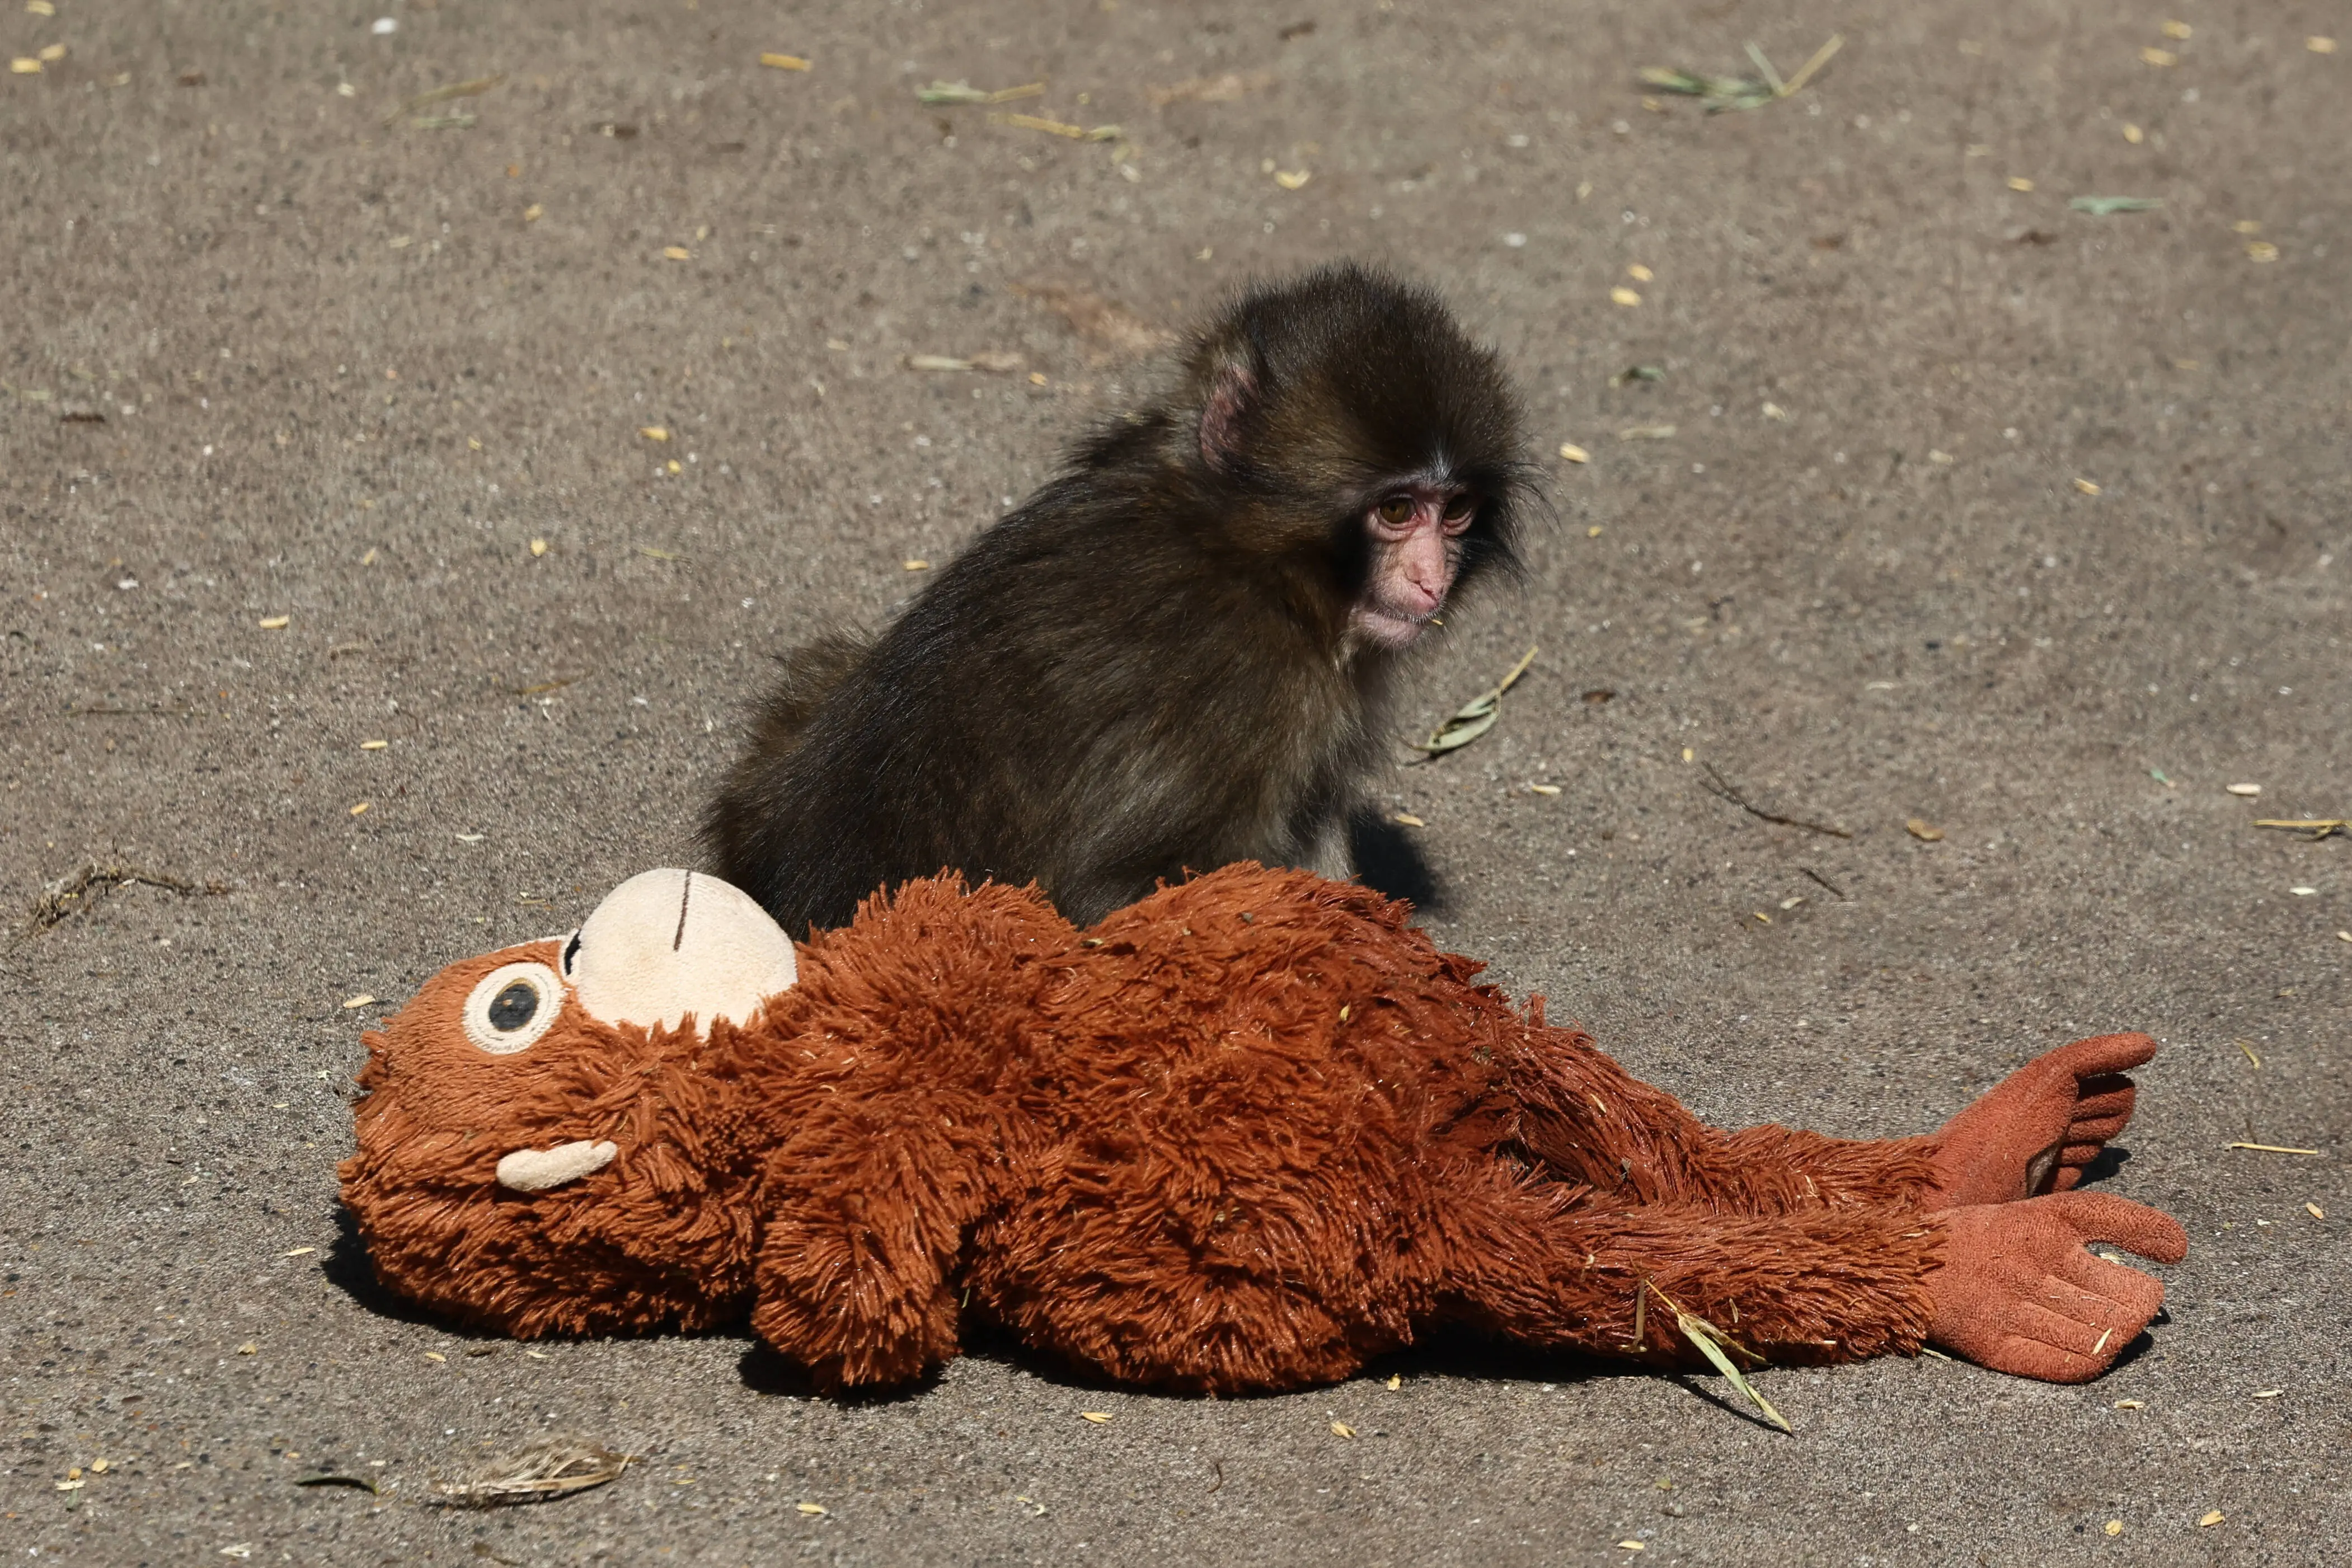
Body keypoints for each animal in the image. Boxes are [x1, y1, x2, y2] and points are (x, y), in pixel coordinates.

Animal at [704, 261, 1533, 935]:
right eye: (1396, 510)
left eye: (1454, 510)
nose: (1429, 578)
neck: (1250, 555)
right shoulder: (1251, 693)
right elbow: (1123, 887)